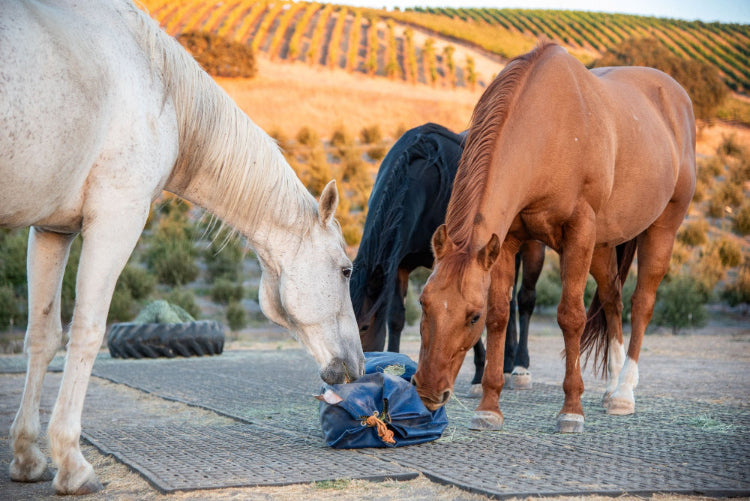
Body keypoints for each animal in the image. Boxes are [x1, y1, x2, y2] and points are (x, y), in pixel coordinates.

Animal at [0, 0, 364, 494]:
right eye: (346, 270)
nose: (358, 367)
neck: (162, 89)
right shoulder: (117, 217)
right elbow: (88, 331)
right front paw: (73, 465)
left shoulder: (52, 230)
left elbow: (43, 335)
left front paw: (27, 457)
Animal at [350, 123, 545, 392]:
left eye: (365, 326)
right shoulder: (399, 265)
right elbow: (396, 318)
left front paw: (478, 374)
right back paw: (505, 365)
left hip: (533, 246)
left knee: (525, 299)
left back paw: (520, 367)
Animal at [412, 42, 695, 434]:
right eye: (424, 304)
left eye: (472, 316)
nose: (427, 391)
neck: (549, 128)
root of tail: (676, 97)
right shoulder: (506, 241)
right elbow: (501, 314)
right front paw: (489, 406)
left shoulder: (579, 234)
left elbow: (570, 316)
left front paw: (571, 409)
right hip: (603, 247)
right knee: (613, 301)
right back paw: (610, 387)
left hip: (661, 229)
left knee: (642, 303)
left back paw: (624, 392)